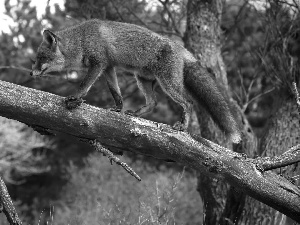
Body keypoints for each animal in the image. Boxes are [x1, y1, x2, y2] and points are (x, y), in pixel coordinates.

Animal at [30, 18, 241, 142]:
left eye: (40, 58)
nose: (31, 74)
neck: (81, 40)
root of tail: (181, 48)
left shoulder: (98, 64)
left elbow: (85, 84)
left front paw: (75, 98)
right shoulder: (109, 68)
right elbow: (116, 92)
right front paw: (119, 109)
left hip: (167, 83)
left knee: (188, 103)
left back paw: (183, 126)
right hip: (143, 80)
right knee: (153, 103)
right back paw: (137, 113)